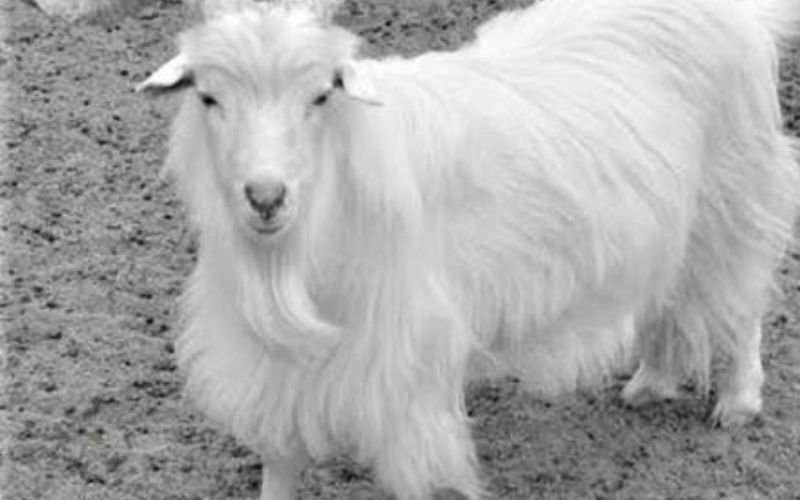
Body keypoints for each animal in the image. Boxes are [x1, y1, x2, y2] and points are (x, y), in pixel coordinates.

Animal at [138, 0, 800, 498]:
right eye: (208, 98)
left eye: (321, 96)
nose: (266, 196)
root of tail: (741, 15)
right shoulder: (280, 372)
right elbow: (279, 467)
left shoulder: (405, 368)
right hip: (673, 222)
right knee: (671, 295)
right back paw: (651, 383)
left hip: (731, 195)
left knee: (741, 302)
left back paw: (739, 401)